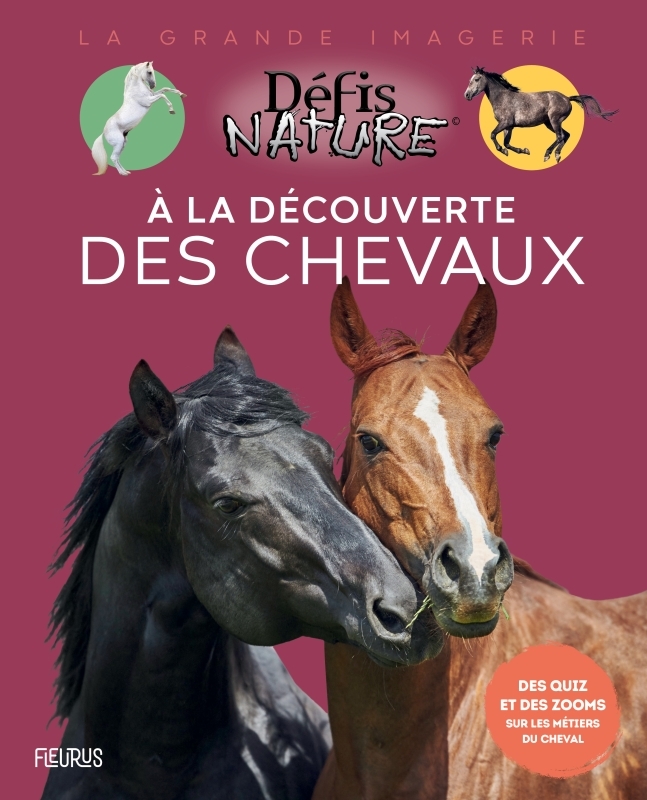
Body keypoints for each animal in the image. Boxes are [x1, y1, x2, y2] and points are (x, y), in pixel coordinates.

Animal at [464, 66, 617, 163]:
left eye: (476, 79)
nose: (466, 95)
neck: (502, 97)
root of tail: (567, 98)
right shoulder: (509, 126)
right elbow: (506, 143)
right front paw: (523, 150)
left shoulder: (505, 123)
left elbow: (493, 135)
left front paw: (502, 149)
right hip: (549, 123)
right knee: (566, 135)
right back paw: (557, 155)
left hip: (554, 120)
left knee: (560, 136)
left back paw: (547, 155)